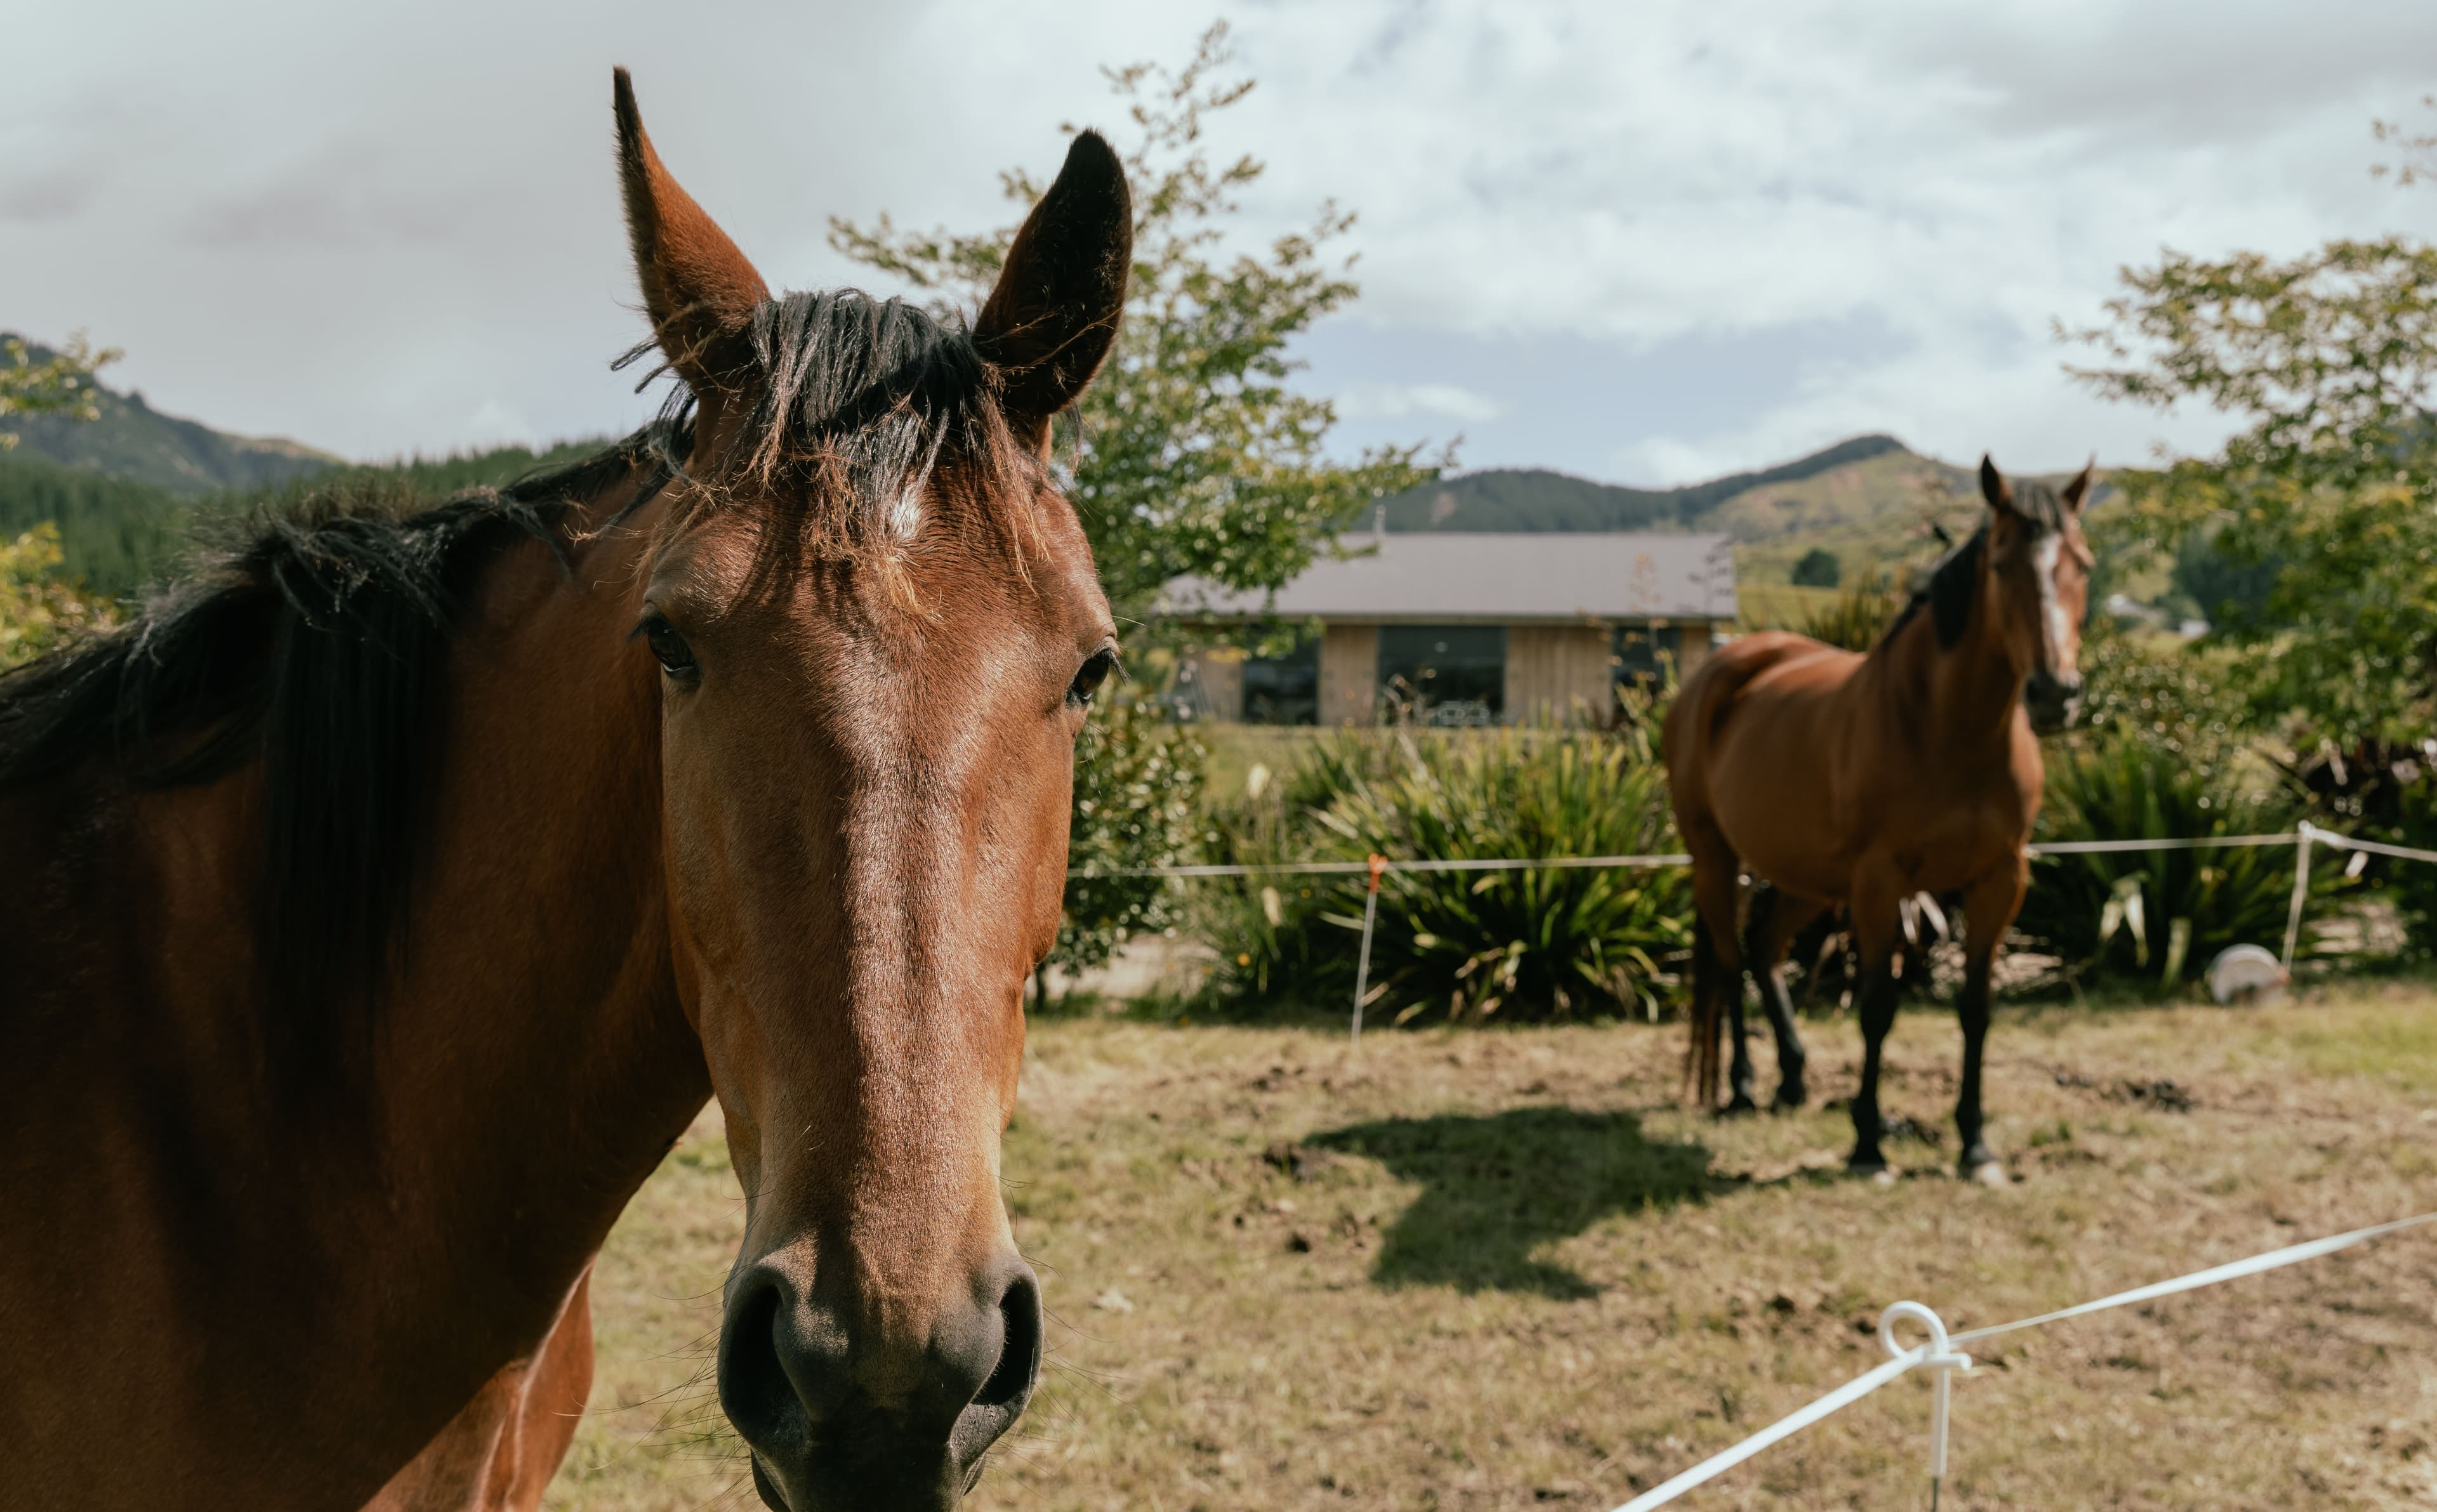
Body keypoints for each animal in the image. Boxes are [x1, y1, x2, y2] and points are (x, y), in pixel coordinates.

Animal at [1662, 458, 2093, 1184]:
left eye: (2082, 564)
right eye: (2001, 563)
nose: (2054, 693)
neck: (1947, 728)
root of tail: (1719, 671)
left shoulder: (2000, 880)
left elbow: (1976, 1010)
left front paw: (1976, 1145)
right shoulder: (1878, 883)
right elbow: (1876, 1007)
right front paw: (1867, 1143)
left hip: (1807, 878)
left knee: (1763, 949)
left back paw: (1792, 1079)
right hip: (1716, 859)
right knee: (1728, 960)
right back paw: (1744, 1087)